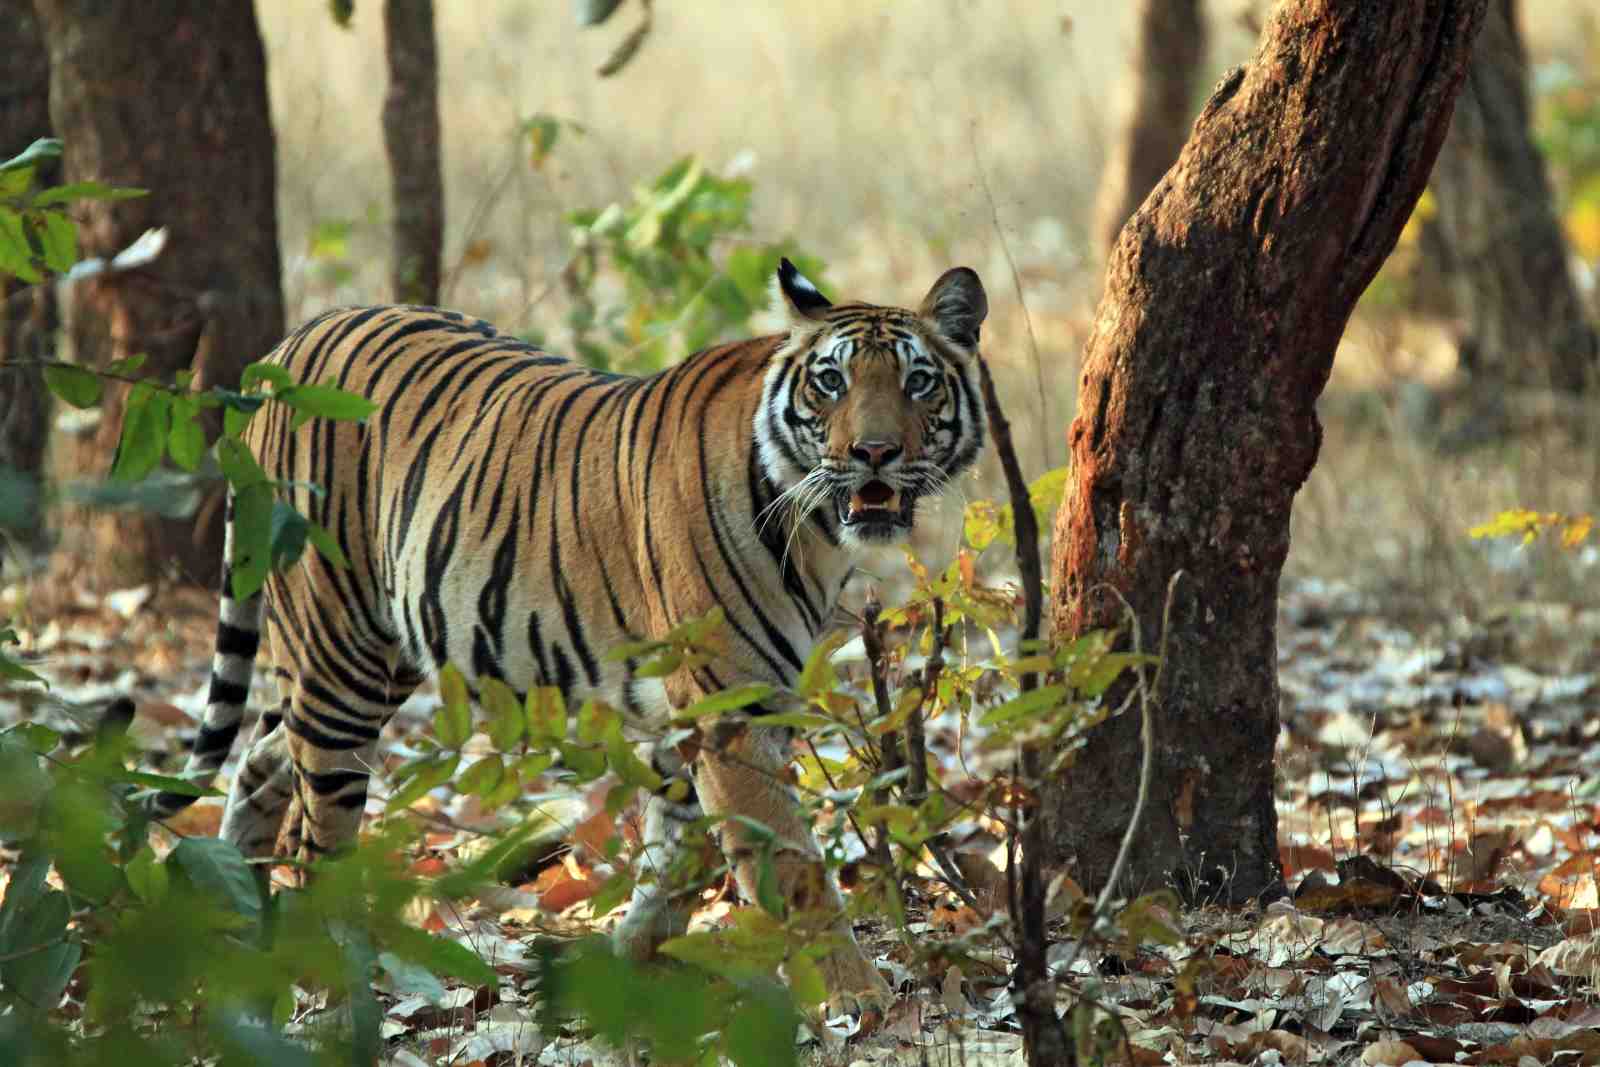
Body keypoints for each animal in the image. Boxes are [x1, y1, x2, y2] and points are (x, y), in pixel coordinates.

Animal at [150, 258, 989, 1013]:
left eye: (918, 382)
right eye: (831, 383)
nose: (874, 452)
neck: (815, 533)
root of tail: (293, 342)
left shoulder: (693, 713)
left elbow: (676, 855)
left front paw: (630, 963)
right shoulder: (729, 709)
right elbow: (789, 861)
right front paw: (860, 996)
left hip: (385, 650)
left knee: (264, 756)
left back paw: (229, 911)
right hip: (340, 649)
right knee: (320, 822)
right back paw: (327, 968)